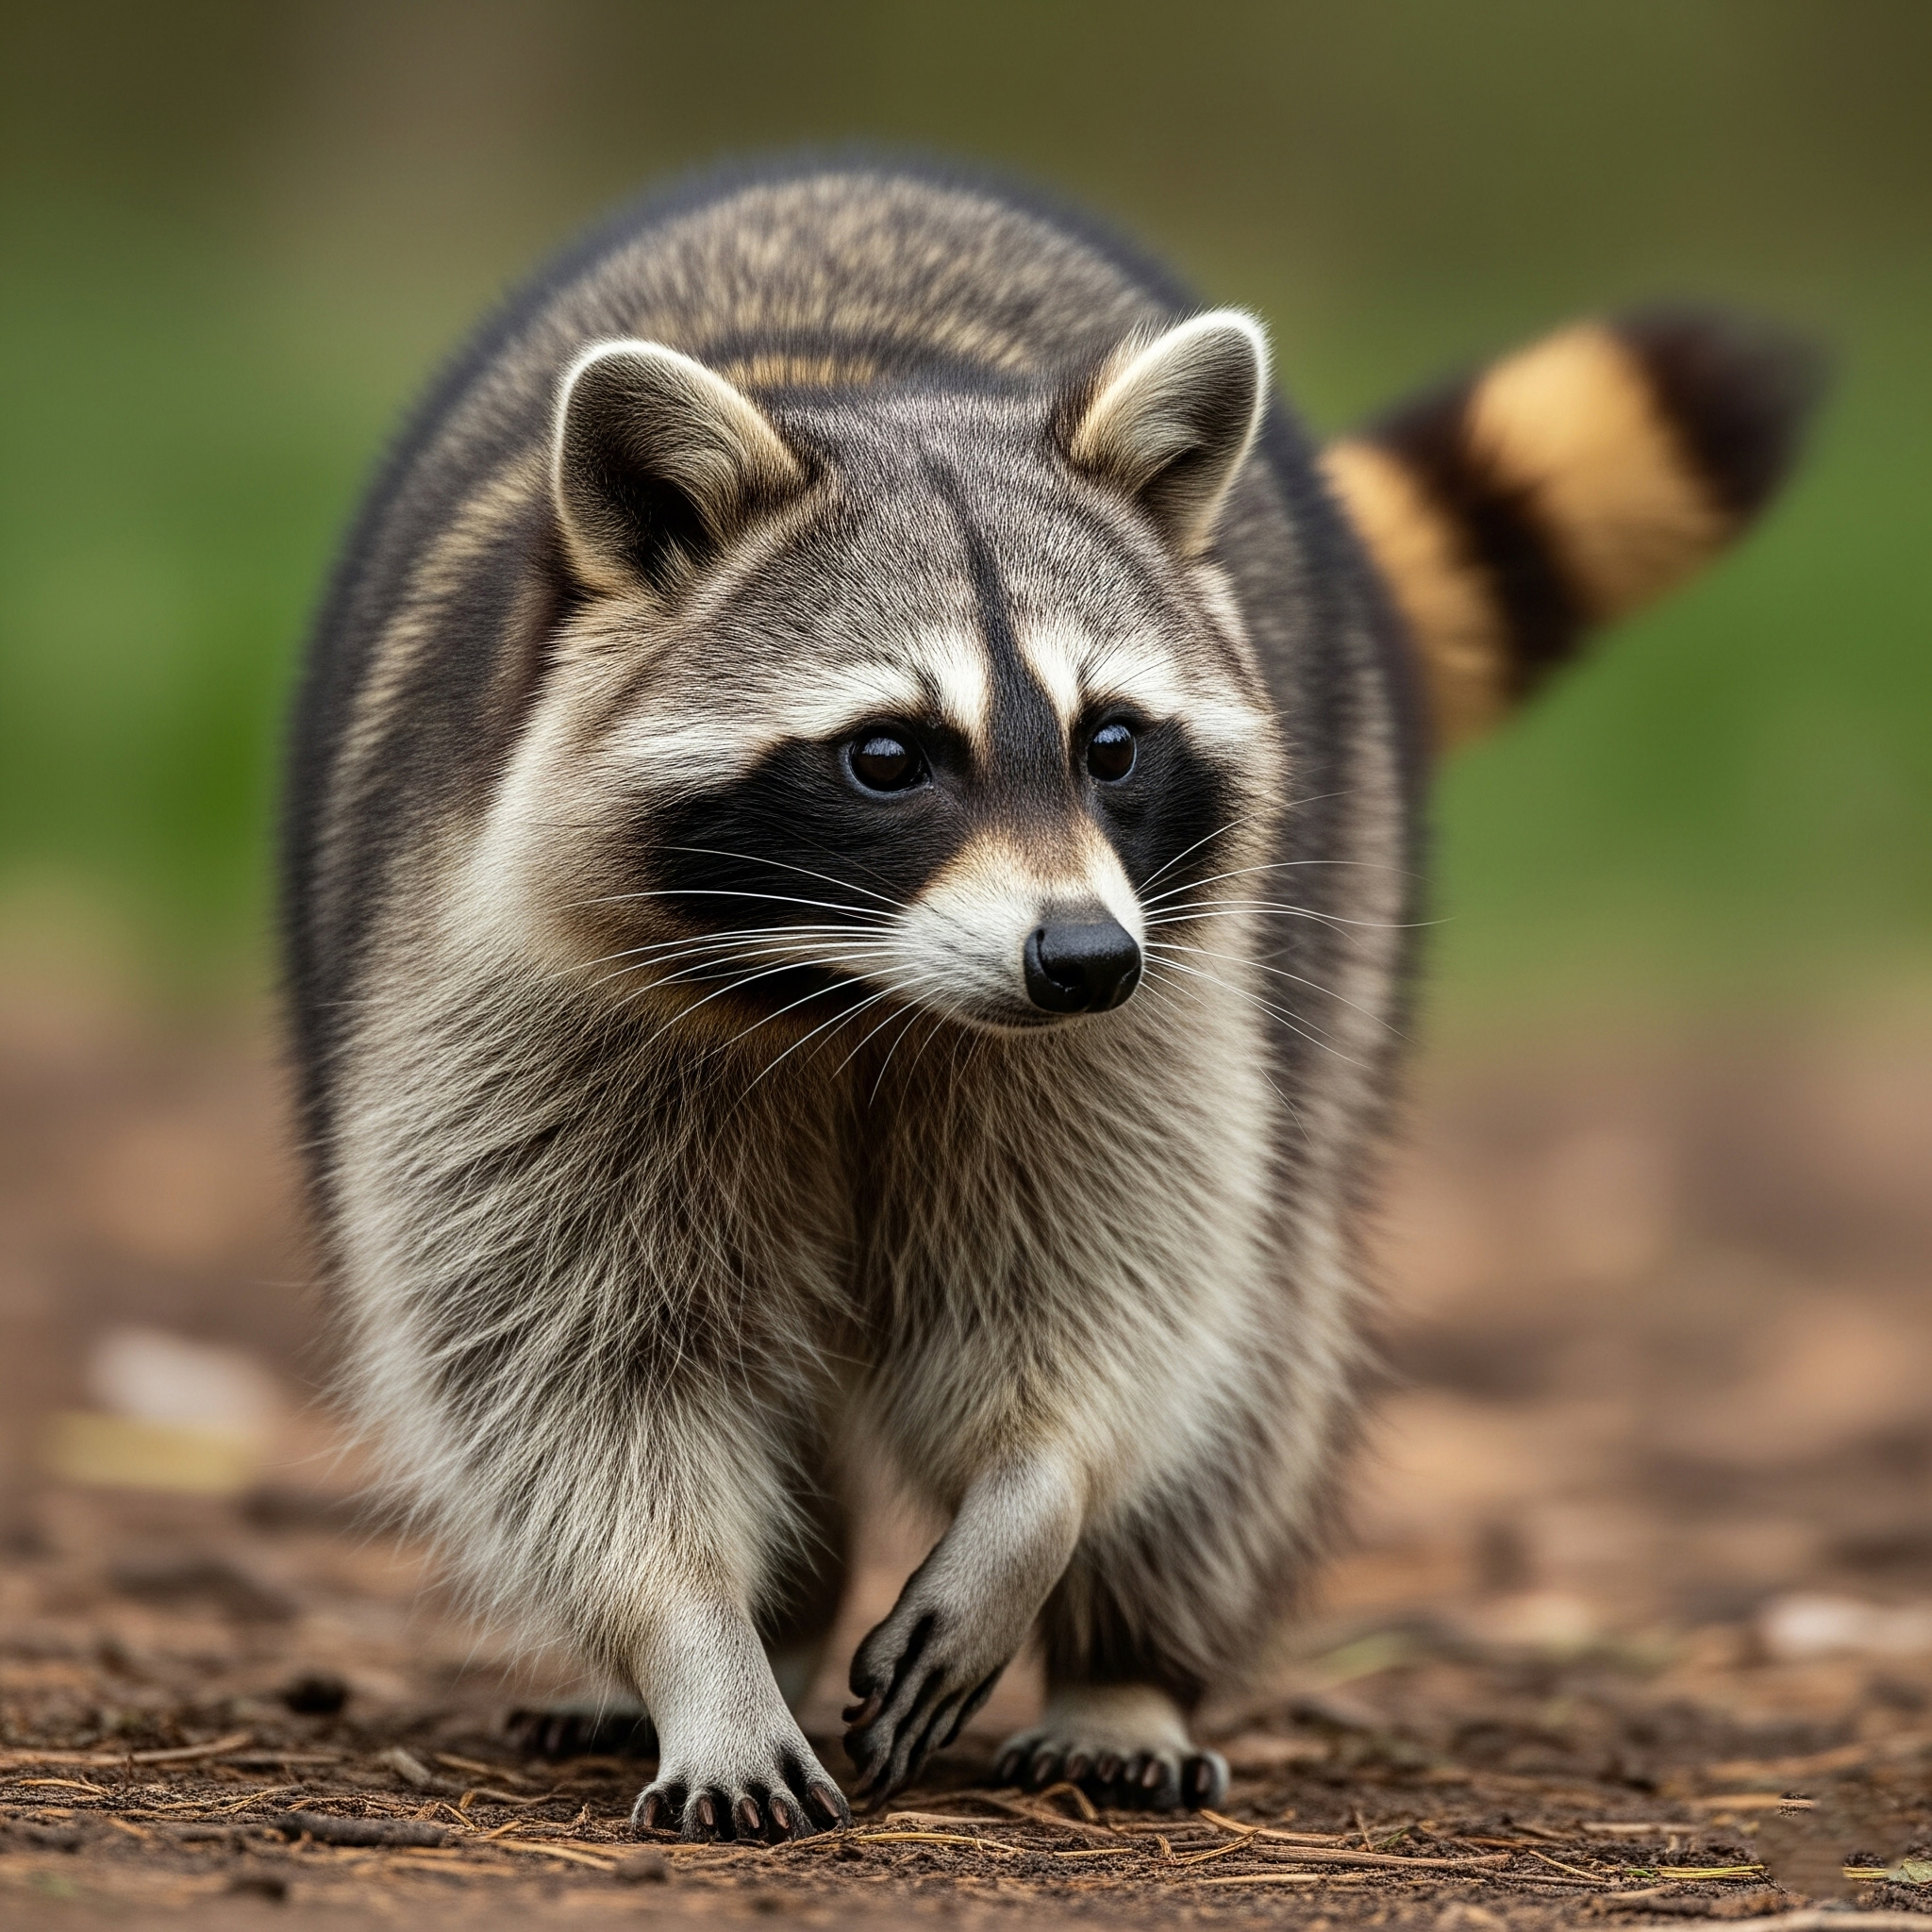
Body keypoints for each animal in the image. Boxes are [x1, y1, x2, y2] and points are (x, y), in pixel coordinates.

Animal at [283, 158, 1816, 1840]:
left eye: (1112, 743)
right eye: (889, 755)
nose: (1082, 963)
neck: (864, 997)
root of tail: (861, 168)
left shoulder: (1156, 1009)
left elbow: (1109, 1291)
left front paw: (1036, 1500)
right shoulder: (515, 994)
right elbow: (570, 1359)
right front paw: (698, 1648)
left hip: (1326, 906)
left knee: (1257, 1348)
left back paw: (1128, 1672)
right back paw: (766, 1640)